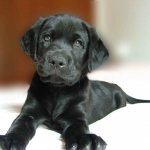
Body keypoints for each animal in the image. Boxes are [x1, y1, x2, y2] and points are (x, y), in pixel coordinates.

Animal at [0, 13, 150, 149]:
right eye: (46, 38)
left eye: (78, 43)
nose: (57, 60)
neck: (57, 89)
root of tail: (120, 88)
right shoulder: (29, 113)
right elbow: (19, 124)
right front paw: (11, 139)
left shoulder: (76, 117)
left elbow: (77, 128)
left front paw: (84, 140)